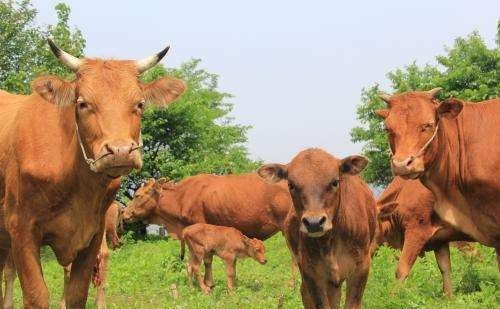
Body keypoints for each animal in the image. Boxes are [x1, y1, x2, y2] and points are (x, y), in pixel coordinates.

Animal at [0, 39, 186, 308]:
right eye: (82, 103)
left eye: (140, 104)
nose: (120, 151)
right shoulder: (21, 230)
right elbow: (36, 296)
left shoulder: (93, 235)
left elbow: (77, 293)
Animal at [258, 147, 376, 308]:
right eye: (291, 185)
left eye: (334, 182)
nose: (314, 223)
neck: (331, 242)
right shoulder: (311, 272)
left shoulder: (361, 267)